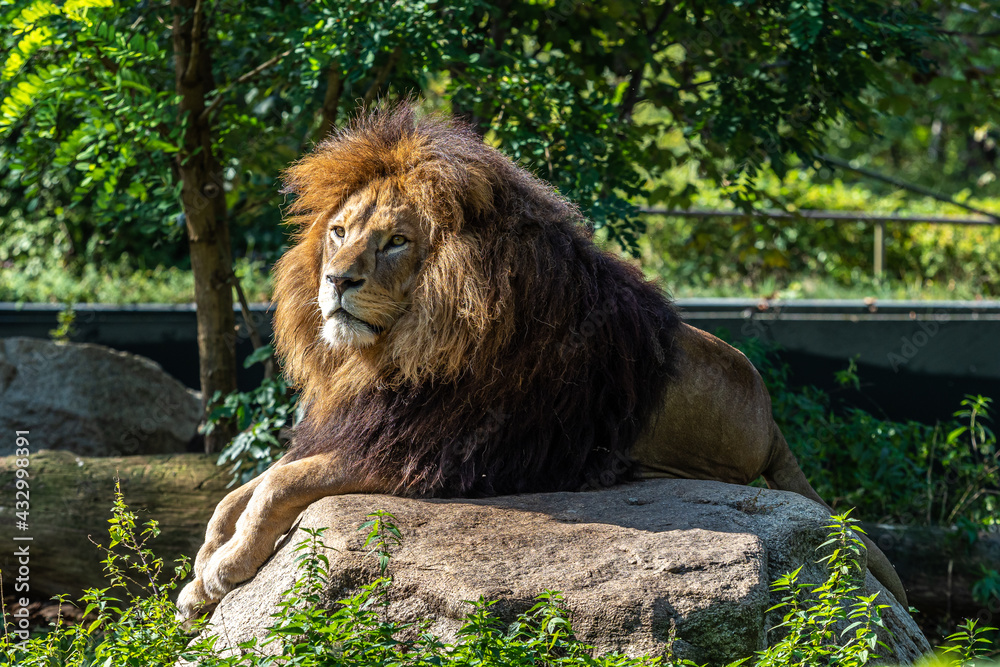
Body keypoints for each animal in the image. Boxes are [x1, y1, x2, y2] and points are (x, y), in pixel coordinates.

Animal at [177, 105, 907, 618]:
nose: (335, 280)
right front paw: (201, 572)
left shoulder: (424, 452)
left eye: (395, 242)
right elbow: (238, 491)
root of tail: (771, 414)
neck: (392, 353)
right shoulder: (361, 423)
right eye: (338, 232)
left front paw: (221, 569)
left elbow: (279, 483)